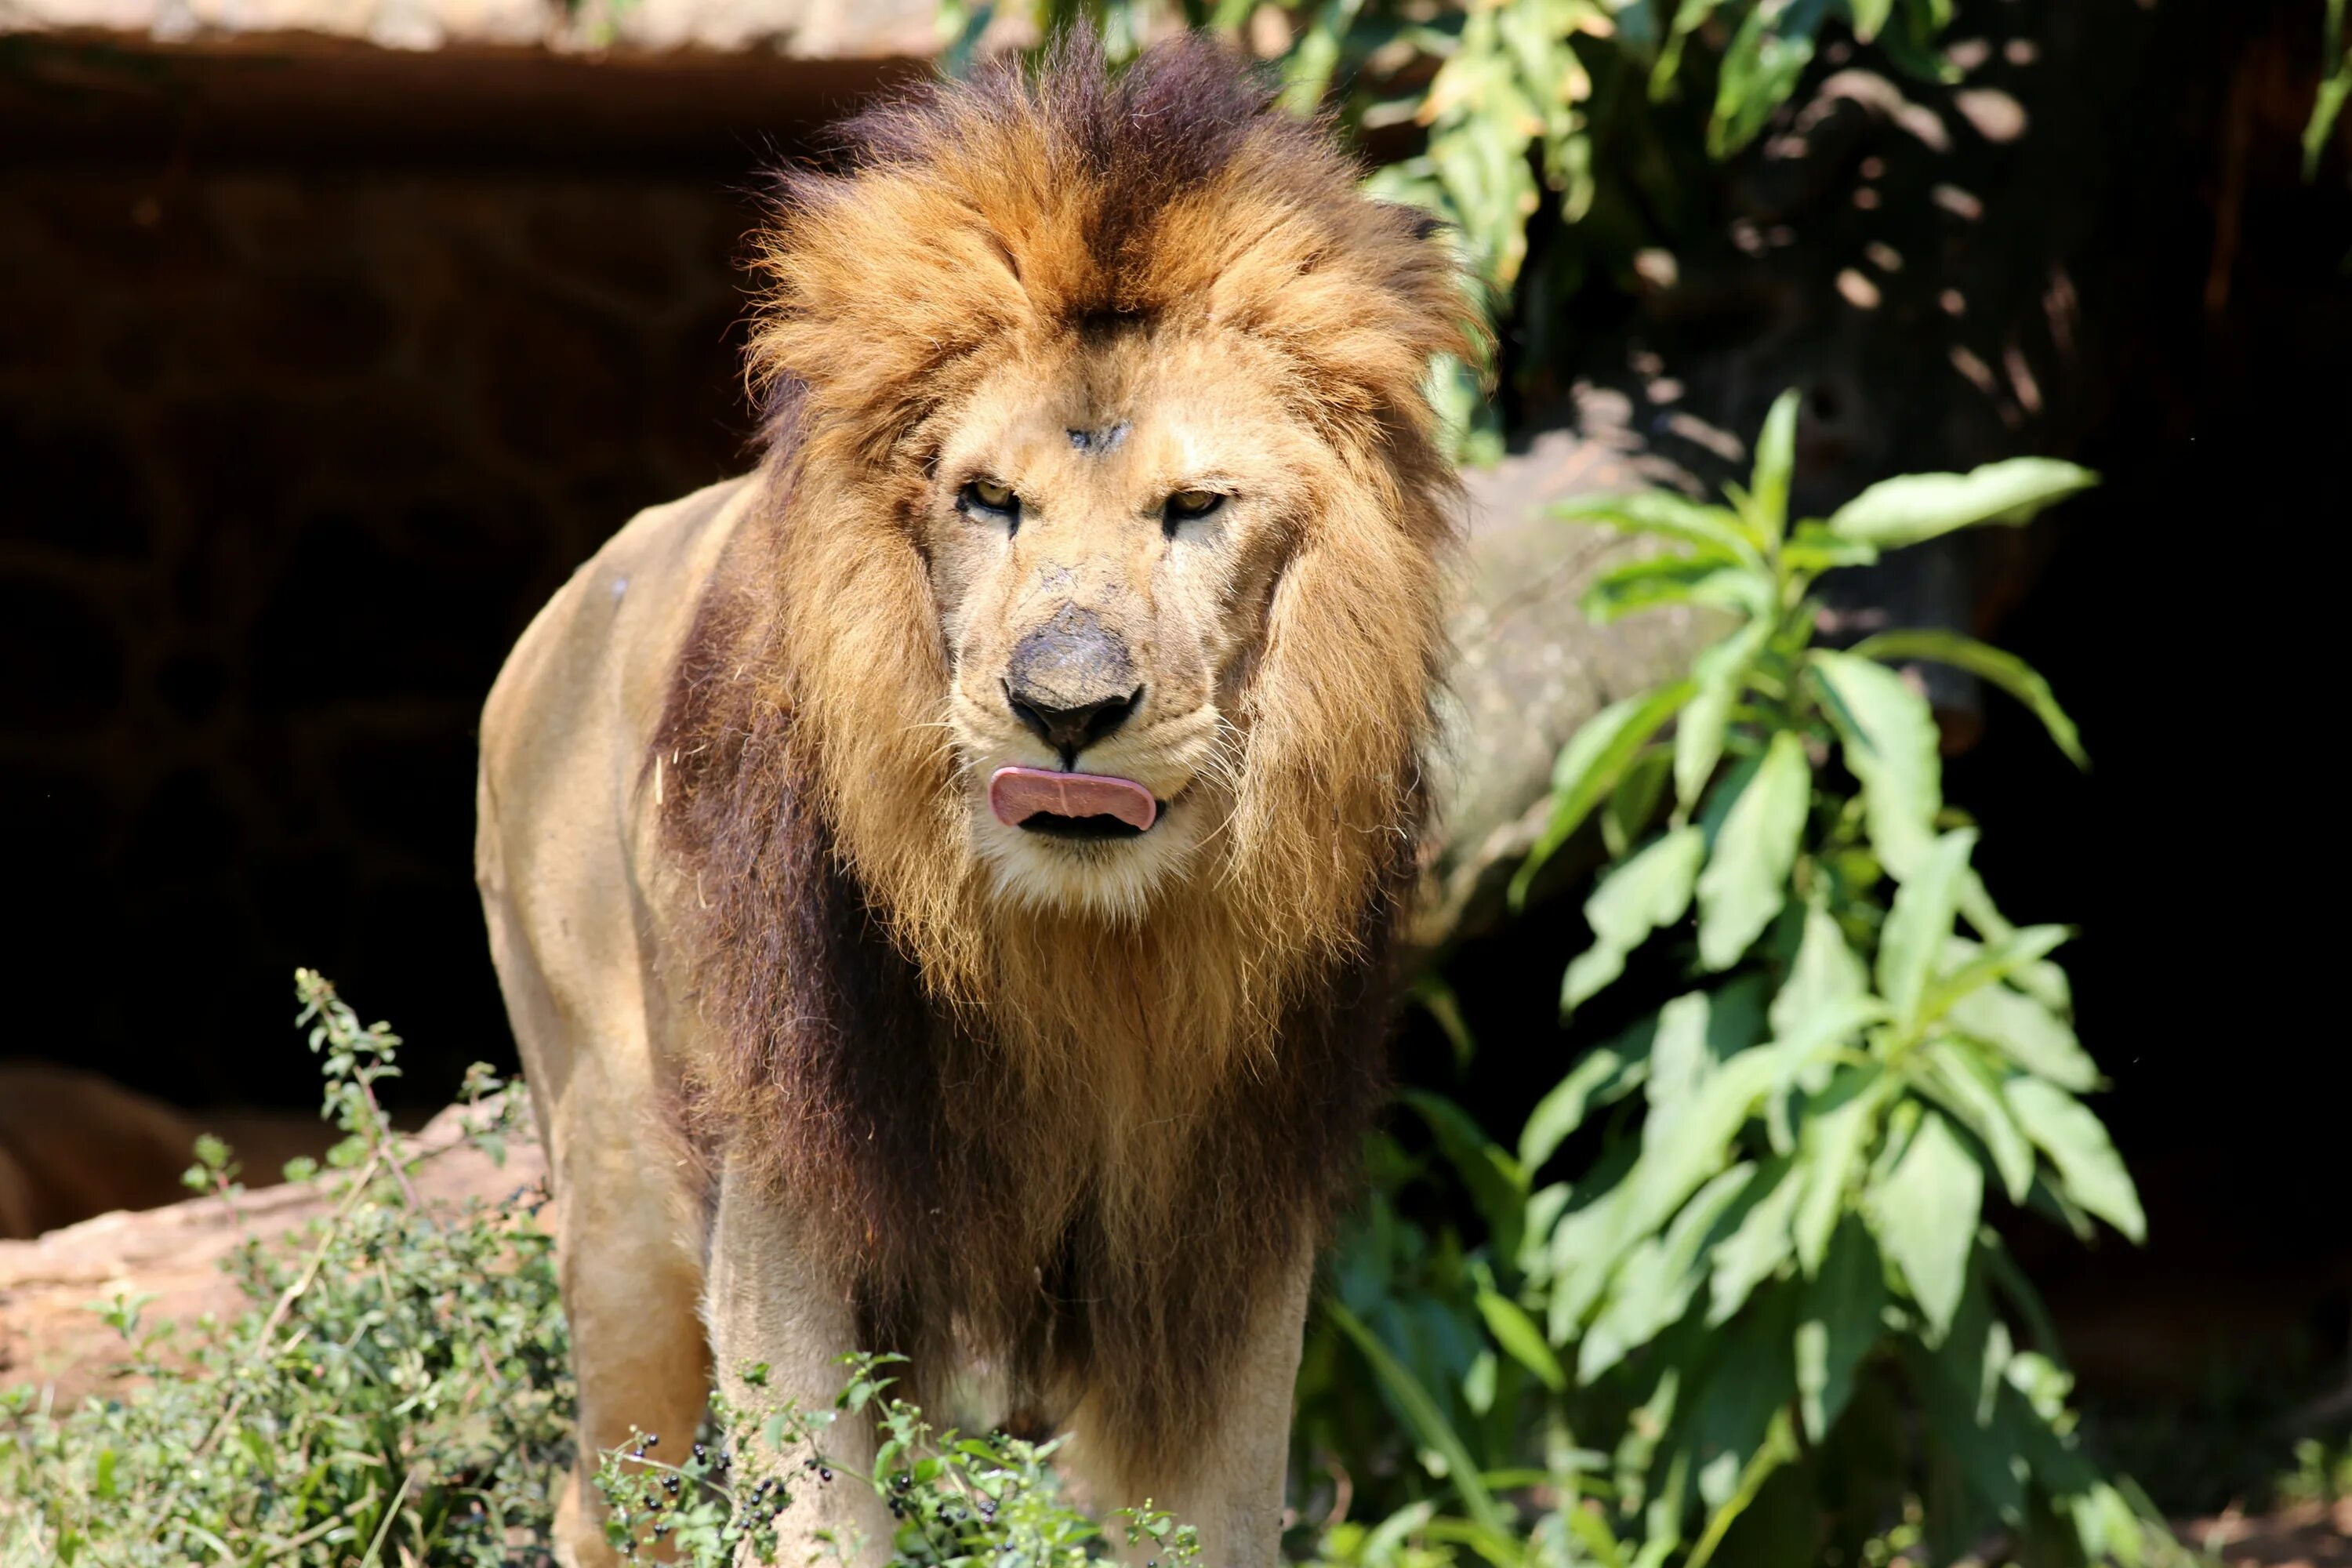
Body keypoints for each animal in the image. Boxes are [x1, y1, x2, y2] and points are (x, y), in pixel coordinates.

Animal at [470, 36, 1477, 1568]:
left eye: (1197, 508)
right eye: (987, 499)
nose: (1064, 709)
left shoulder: (1227, 1247)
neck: (1085, 958)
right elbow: (819, 1516)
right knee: (609, 1496)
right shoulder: (790, 1210)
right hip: (618, 1186)